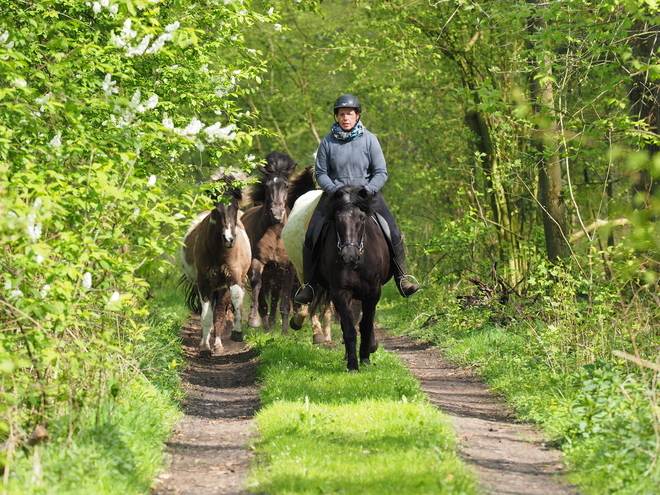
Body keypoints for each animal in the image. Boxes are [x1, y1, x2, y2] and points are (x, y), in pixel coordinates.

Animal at [179, 170, 251, 356]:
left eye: (236, 208)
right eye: (216, 208)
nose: (229, 239)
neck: (220, 251)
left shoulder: (233, 277)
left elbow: (230, 304)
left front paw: (235, 334)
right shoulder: (204, 282)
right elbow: (206, 315)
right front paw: (205, 347)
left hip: (221, 287)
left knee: (219, 311)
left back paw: (217, 343)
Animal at [241, 152, 298, 334]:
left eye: (286, 185)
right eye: (267, 186)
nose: (277, 213)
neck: (276, 233)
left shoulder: (286, 267)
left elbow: (283, 298)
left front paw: (284, 332)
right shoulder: (258, 261)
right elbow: (257, 286)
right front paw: (254, 320)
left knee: (275, 294)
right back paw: (266, 325)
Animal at [312, 187, 390, 372]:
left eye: (361, 219)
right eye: (338, 219)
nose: (349, 258)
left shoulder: (373, 294)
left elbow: (366, 325)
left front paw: (365, 358)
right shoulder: (340, 292)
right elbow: (349, 329)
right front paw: (353, 364)